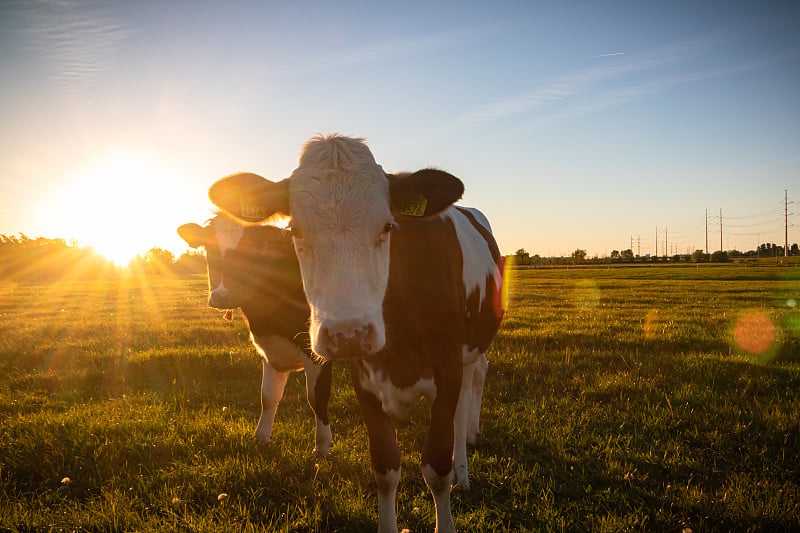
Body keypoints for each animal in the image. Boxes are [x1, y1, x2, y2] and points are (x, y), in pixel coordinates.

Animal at [177, 214, 332, 456]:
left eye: (250, 249)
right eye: (208, 248)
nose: (222, 296)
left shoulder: (316, 348)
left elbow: (317, 396)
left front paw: (322, 446)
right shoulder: (270, 348)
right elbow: (267, 396)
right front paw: (261, 438)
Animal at [209, 134, 504, 532]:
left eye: (388, 226)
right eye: (294, 230)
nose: (348, 333)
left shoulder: (447, 371)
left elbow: (436, 469)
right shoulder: (364, 380)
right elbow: (385, 467)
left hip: (471, 349)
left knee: (469, 396)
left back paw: (465, 460)